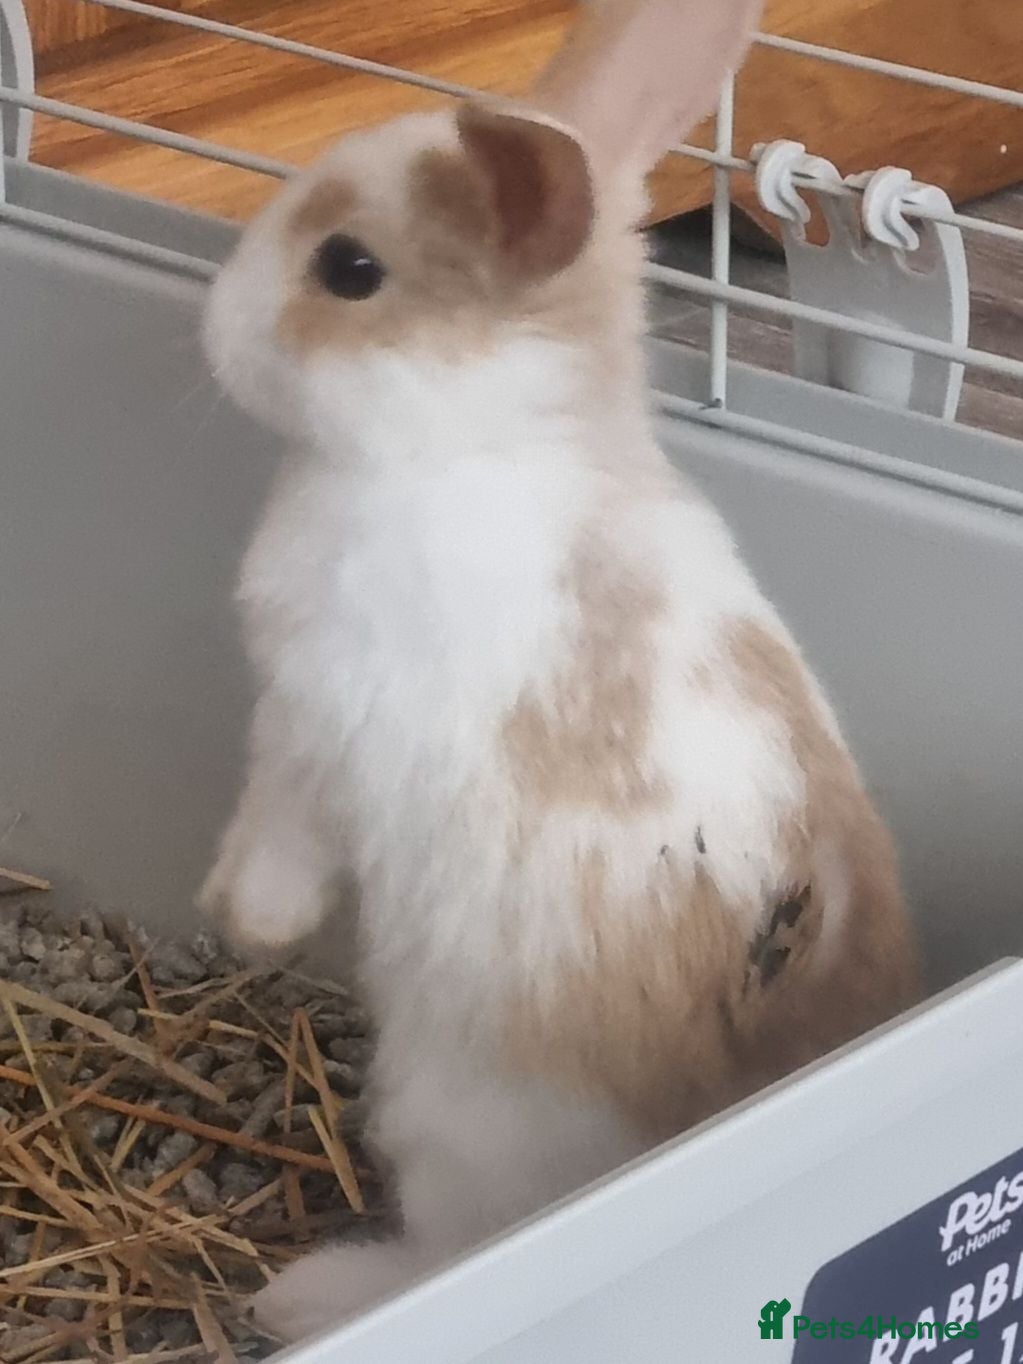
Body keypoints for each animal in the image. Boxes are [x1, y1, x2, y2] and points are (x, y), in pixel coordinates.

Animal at [198, 0, 919, 1342]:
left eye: (350, 270)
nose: (215, 321)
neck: (478, 437)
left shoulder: (313, 720)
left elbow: (279, 825)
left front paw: (246, 918)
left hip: (450, 1116)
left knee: (454, 1244)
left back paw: (312, 1294)